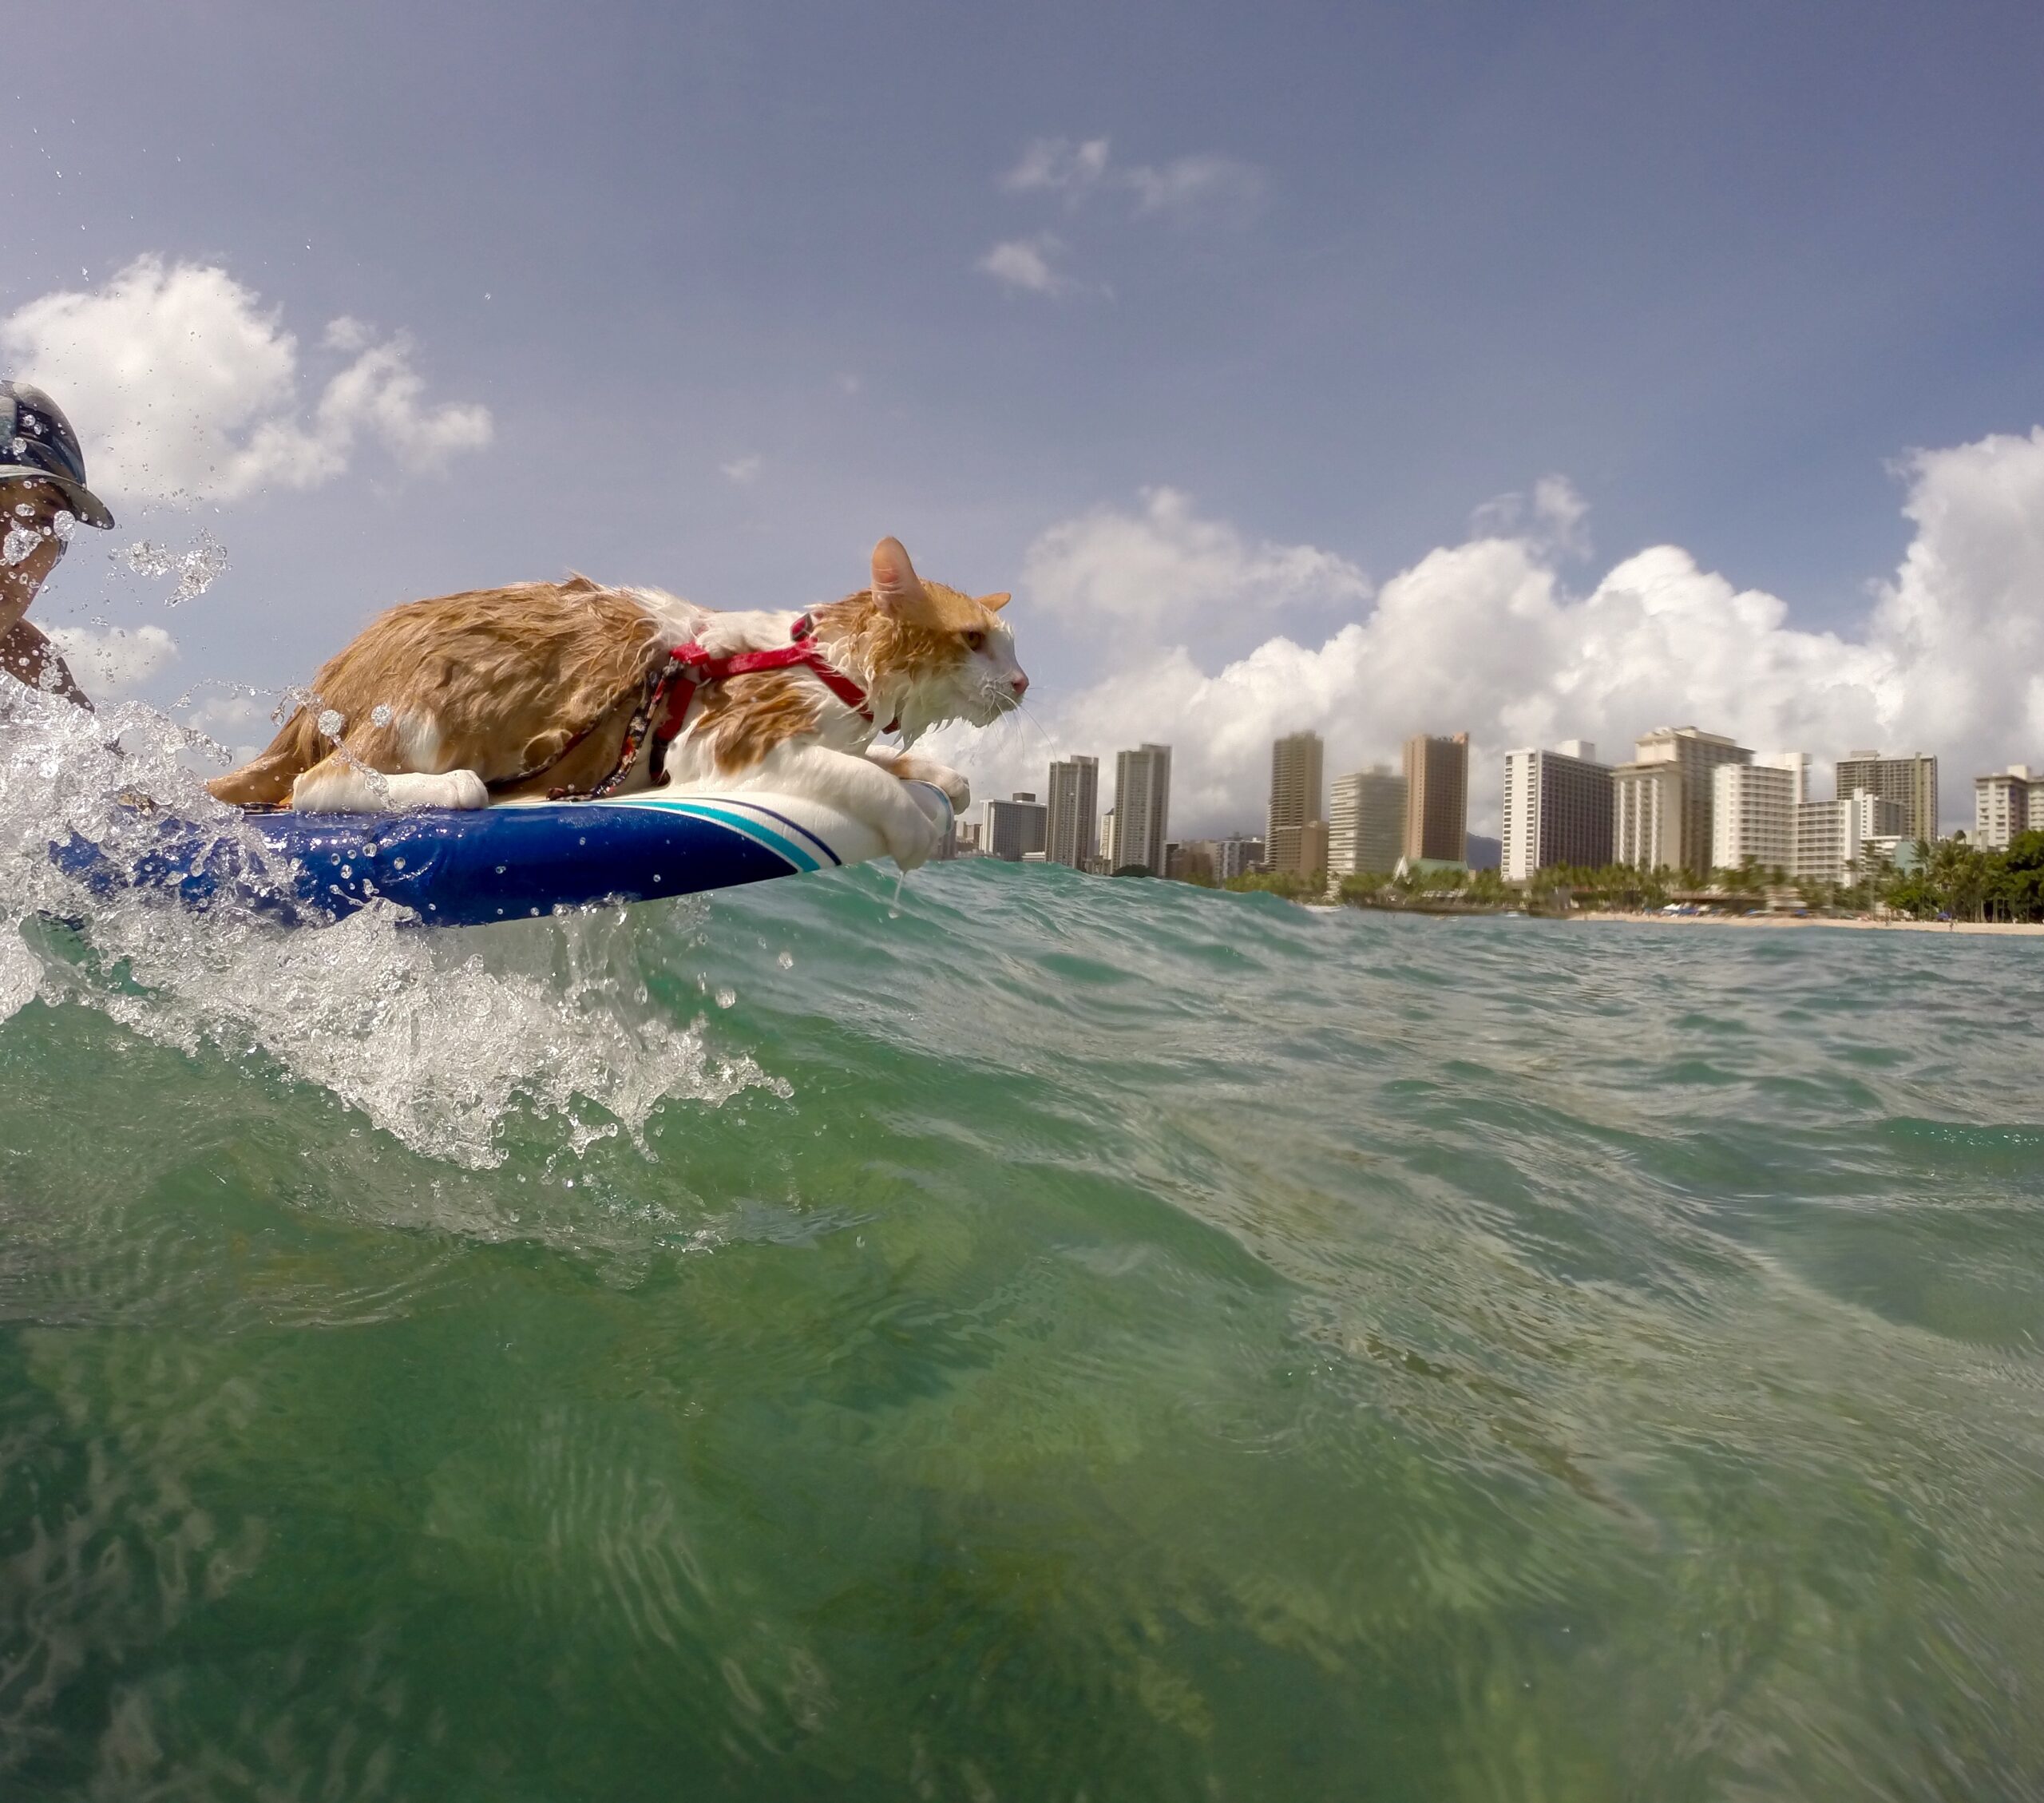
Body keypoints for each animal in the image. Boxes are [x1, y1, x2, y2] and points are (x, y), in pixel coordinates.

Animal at [211, 535, 1022, 870]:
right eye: (976, 640)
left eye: (1012, 648)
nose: (1022, 684)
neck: (834, 665)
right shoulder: (727, 740)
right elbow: (864, 775)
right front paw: (912, 824)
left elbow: (891, 759)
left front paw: (941, 777)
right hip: (435, 706)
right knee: (317, 787)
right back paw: (454, 789)